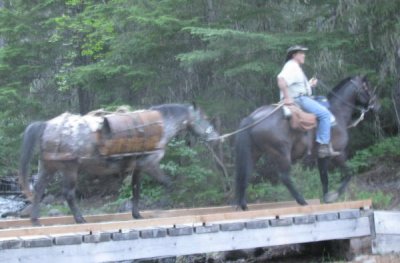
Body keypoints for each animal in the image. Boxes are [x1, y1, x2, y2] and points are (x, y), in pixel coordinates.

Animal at [18, 103, 219, 225]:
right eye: (204, 118)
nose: (216, 137)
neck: (162, 125)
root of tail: (47, 125)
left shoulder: (138, 168)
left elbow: (136, 190)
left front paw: (137, 214)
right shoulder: (150, 164)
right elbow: (167, 183)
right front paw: (164, 206)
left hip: (48, 167)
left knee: (38, 189)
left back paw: (35, 219)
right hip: (70, 168)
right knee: (68, 193)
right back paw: (80, 219)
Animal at [234, 76, 378, 210]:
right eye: (367, 87)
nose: (376, 104)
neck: (338, 113)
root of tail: (252, 118)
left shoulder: (322, 157)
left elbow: (324, 177)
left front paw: (326, 198)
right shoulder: (337, 154)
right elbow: (349, 173)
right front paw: (333, 196)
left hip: (254, 153)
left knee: (245, 173)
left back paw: (243, 205)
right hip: (281, 153)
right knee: (285, 177)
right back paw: (302, 201)